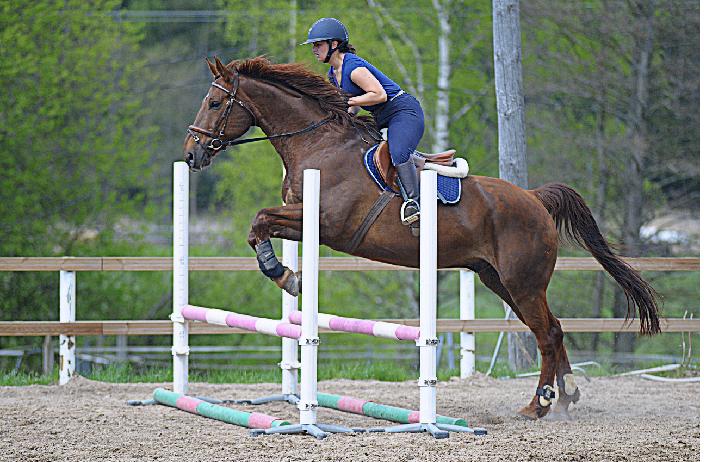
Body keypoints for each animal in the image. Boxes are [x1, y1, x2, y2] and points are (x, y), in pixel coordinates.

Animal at [183, 56, 660, 420]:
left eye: (213, 102)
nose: (191, 155)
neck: (317, 142)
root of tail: (535, 199)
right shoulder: (302, 221)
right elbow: (259, 224)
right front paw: (284, 273)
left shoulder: (325, 223)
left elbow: (261, 219)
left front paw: (284, 275)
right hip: (498, 280)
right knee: (555, 330)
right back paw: (564, 399)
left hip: (523, 283)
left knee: (546, 335)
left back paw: (537, 407)